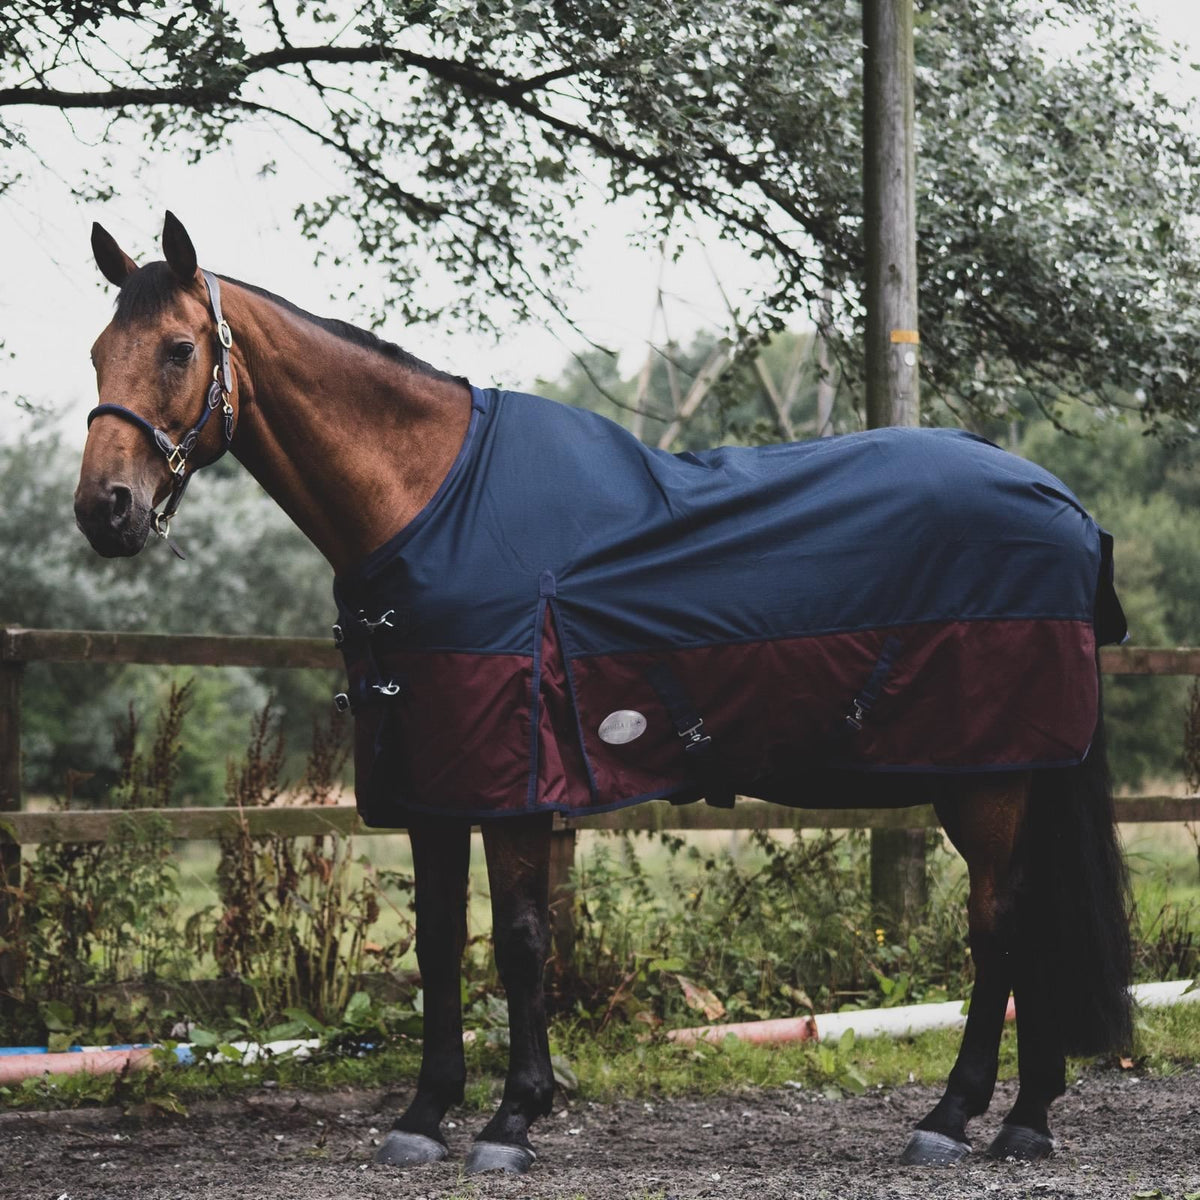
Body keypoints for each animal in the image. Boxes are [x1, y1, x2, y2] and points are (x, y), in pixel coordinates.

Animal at [74, 213, 1133, 1176]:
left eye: (178, 349)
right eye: (95, 353)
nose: (103, 510)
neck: (433, 504)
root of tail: (1069, 508)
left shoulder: (511, 785)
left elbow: (521, 940)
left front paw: (512, 1121)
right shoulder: (430, 783)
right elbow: (439, 941)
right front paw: (425, 1116)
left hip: (990, 777)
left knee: (998, 930)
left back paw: (951, 1119)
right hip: (1012, 773)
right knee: (1031, 927)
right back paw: (1026, 1120)